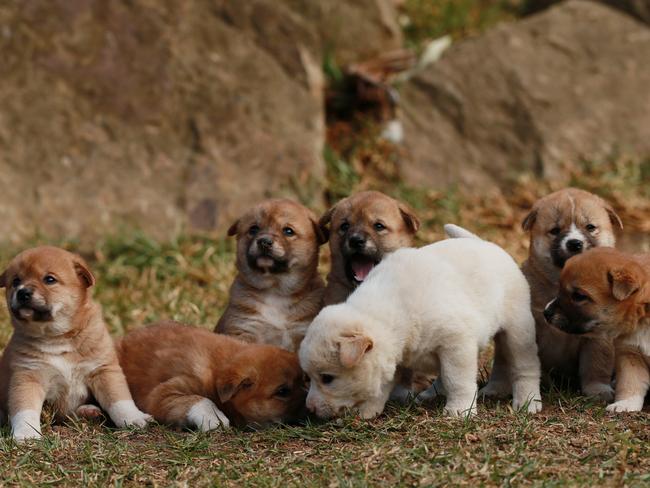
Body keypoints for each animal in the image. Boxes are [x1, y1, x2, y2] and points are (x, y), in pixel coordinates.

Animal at [0, 246, 151, 440]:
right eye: (16, 281)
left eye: (49, 279)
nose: (22, 292)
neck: (57, 337)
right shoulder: (28, 376)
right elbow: (25, 410)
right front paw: (26, 434)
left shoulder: (103, 370)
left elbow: (120, 400)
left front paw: (133, 419)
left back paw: (89, 410)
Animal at [215, 198, 326, 350]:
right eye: (253, 229)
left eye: (288, 231)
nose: (264, 242)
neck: (275, 290)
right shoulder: (244, 328)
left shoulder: (301, 333)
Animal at [298, 226, 540, 420]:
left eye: (327, 378)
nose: (309, 409)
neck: (395, 310)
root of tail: (482, 242)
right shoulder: (393, 358)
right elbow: (381, 387)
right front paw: (367, 412)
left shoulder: (456, 345)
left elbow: (457, 380)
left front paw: (460, 410)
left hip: (517, 330)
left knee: (524, 366)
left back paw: (528, 400)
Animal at [520, 187, 620, 400]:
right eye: (555, 230)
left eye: (590, 227)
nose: (574, 244)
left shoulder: (598, 336)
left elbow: (596, 364)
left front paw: (597, 389)